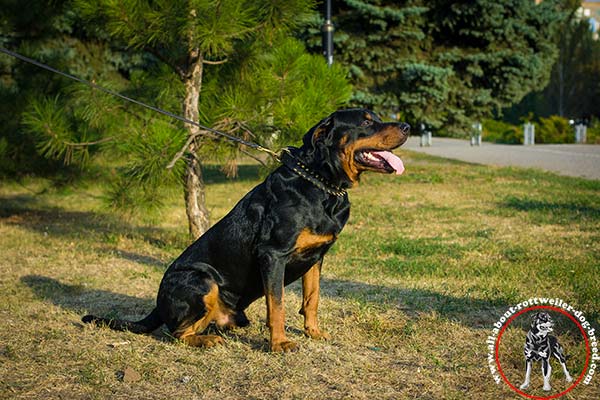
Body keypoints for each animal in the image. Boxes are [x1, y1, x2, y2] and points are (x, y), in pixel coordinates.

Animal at [82, 108, 410, 352]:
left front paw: (313, 333)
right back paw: (207, 340)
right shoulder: (273, 254)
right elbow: (277, 305)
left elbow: (312, 299)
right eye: (366, 122)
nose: (407, 126)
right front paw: (279, 344)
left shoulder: (316, 257)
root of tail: (158, 304)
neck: (321, 183)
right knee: (175, 333)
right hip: (202, 280)